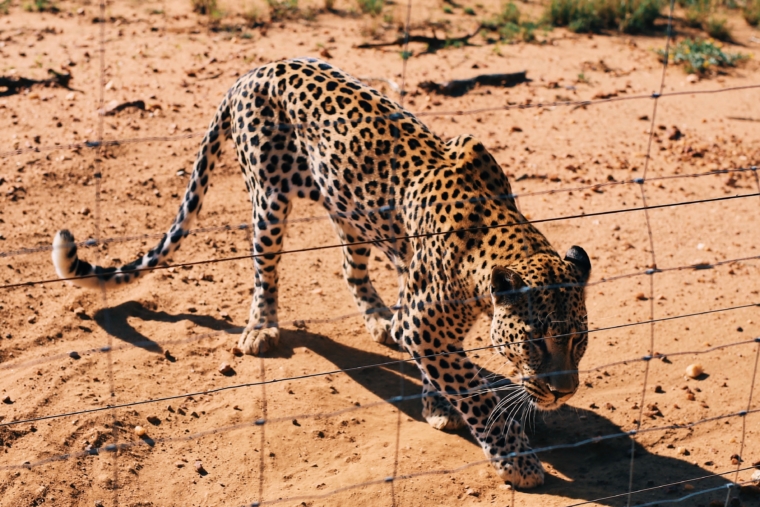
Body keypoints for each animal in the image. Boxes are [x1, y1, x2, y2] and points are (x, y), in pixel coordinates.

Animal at [52, 56, 592, 488]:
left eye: (578, 341)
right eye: (534, 343)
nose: (564, 392)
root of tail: (256, 69)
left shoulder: (427, 319)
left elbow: (447, 369)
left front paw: (436, 403)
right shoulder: (427, 326)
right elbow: (476, 395)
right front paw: (516, 460)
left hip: (349, 209)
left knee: (350, 268)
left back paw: (380, 321)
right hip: (268, 200)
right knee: (264, 271)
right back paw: (261, 330)